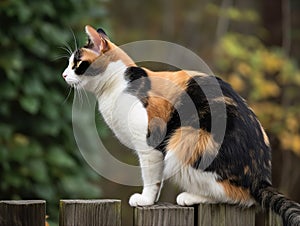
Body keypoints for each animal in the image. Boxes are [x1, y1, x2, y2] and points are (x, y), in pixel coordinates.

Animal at [62, 25, 300, 225]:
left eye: (77, 64)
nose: (64, 74)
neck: (117, 85)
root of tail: (260, 178)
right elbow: (157, 179)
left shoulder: (149, 145)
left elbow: (150, 177)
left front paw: (145, 200)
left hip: (185, 139)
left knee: (239, 196)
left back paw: (190, 196)